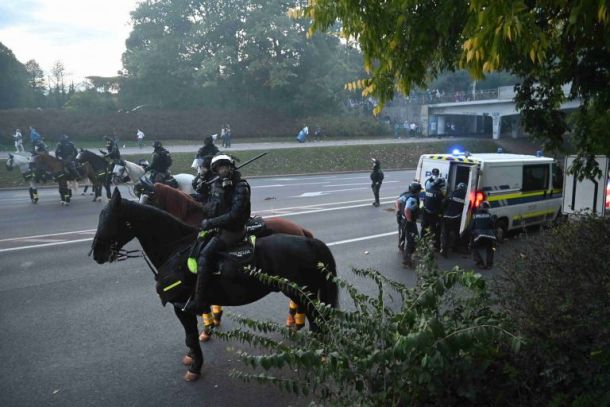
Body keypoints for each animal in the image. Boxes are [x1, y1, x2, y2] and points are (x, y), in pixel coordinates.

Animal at [91, 190, 338, 382]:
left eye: (110, 219)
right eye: (100, 217)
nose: (96, 253)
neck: (175, 248)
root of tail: (309, 240)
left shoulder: (181, 307)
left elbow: (191, 336)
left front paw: (195, 366)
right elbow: (192, 336)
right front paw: (195, 352)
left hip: (306, 296)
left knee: (319, 325)